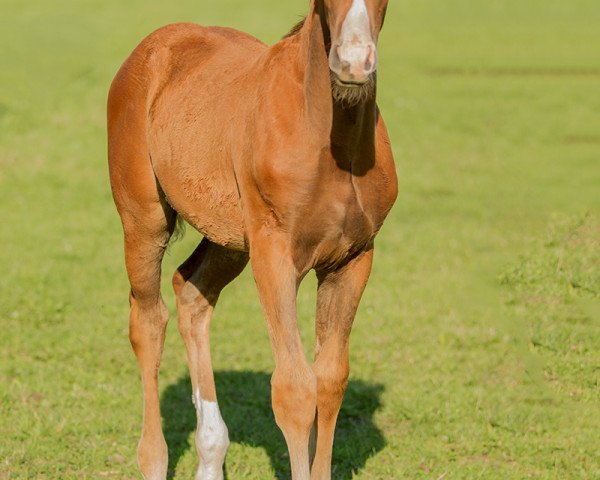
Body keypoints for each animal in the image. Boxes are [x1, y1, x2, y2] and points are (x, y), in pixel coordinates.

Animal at [108, 0, 398, 480]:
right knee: (147, 321)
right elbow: (294, 390)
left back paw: (210, 454)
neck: (331, 145)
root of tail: (153, 45)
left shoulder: (353, 259)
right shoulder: (275, 256)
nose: (354, 63)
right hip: (143, 220)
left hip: (229, 239)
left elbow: (330, 380)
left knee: (192, 292)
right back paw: (154, 459)